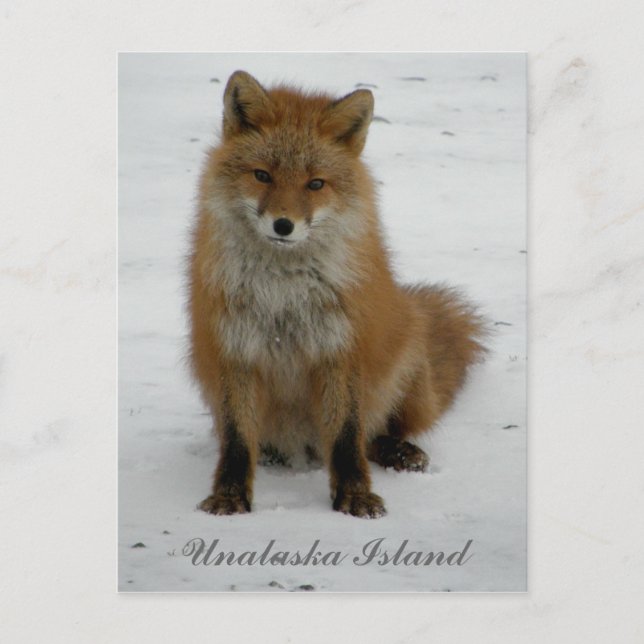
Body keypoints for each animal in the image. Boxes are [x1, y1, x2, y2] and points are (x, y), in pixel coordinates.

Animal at [188, 70, 486, 519]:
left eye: (315, 184)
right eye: (262, 175)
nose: (283, 225)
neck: (284, 291)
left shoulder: (340, 349)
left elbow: (347, 437)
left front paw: (355, 496)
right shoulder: (234, 350)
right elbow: (239, 441)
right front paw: (230, 495)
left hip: (408, 365)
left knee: (373, 435)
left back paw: (400, 452)